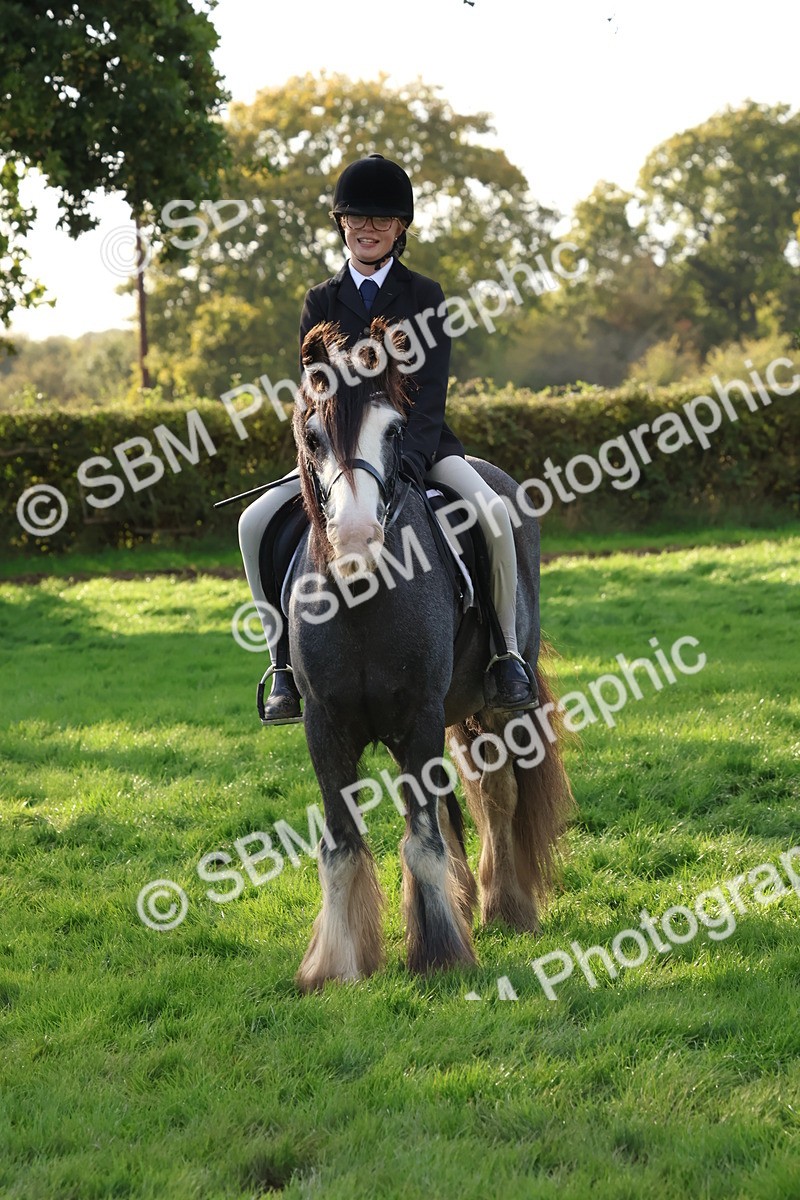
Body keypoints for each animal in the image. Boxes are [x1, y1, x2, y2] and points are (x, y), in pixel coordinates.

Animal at [283, 318, 574, 991]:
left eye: (394, 430)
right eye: (312, 432)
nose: (356, 539)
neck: (363, 597)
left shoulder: (418, 714)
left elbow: (423, 839)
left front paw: (440, 952)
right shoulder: (326, 725)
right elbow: (341, 846)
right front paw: (337, 965)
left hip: (497, 708)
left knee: (498, 797)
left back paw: (505, 905)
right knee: (451, 806)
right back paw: (468, 900)